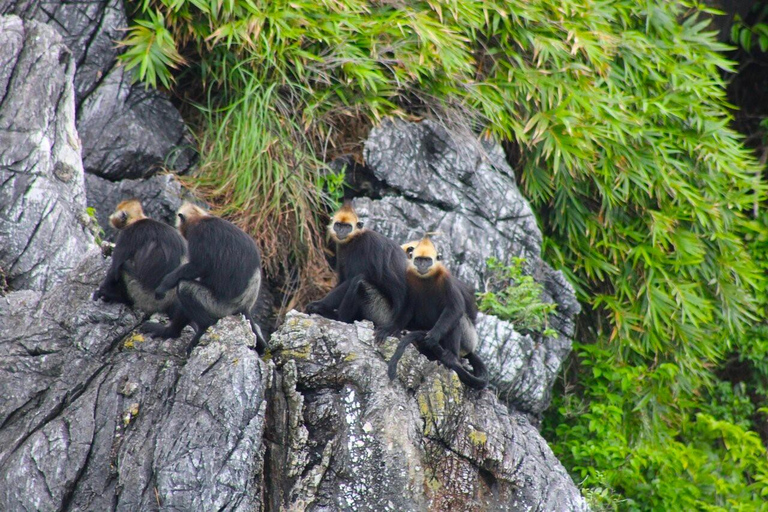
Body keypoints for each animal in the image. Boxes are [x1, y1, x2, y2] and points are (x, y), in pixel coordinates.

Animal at [140, 202, 268, 354]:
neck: (201, 219)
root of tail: (245, 306)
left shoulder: (200, 235)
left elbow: (199, 266)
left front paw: (165, 283)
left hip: (220, 307)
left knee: (184, 287)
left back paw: (203, 328)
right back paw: (170, 332)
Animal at [308, 199, 414, 340]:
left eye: (347, 227)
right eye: (338, 225)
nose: (341, 231)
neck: (354, 239)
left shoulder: (363, 246)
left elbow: (351, 280)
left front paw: (319, 304)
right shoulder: (341, 249)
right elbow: (343, 280)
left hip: (381, 313)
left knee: (359, 282)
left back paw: (339, 317)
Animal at [388, 236, 488, 388]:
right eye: (411, 252)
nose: (410, 253)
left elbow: (455, 308)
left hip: (468, 338)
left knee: (458, 319)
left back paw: (451, 356)